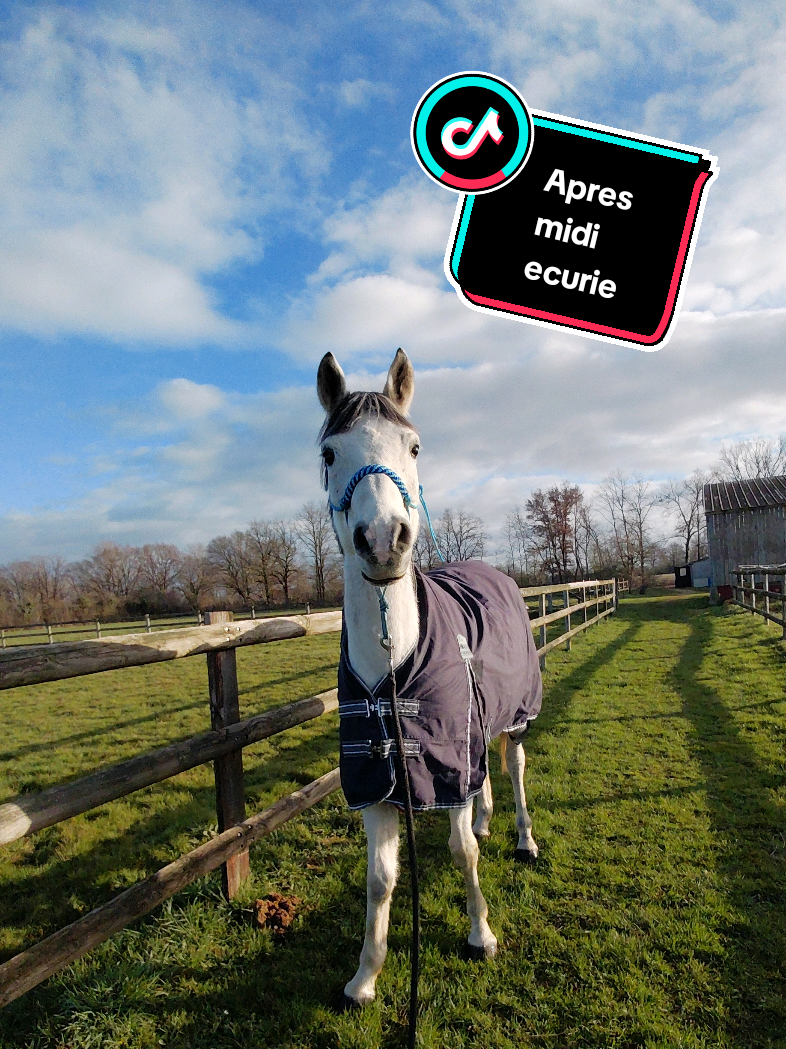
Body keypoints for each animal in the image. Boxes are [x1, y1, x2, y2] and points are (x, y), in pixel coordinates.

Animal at [317, 347, 542, 1008]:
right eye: (330, 452)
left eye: (414, 446)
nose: (382, 540)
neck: (393, 670)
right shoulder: (374, 783)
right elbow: (380, 878)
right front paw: (364, 977)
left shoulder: (446, 761)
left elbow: (460, 851)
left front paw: (480, 935)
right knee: (485, 778)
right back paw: (490, 819)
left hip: (515, 718)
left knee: (514, 769)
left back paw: (523, 839)